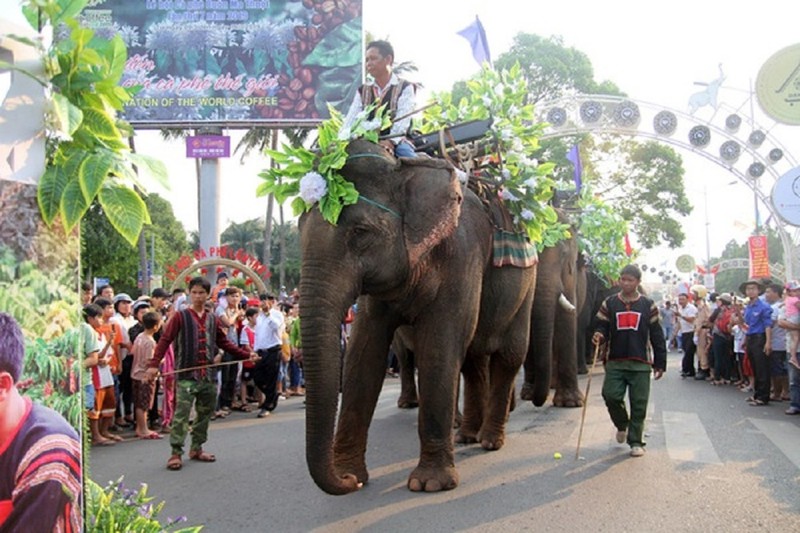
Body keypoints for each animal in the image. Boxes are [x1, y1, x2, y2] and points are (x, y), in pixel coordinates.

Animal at [300, 138, 536, 494]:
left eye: (361, 231)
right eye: (298, 230)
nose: (346, 482)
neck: (406, 169)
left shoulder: (462, 255)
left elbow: (440, 347)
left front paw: (430, 484)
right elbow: (363, 353)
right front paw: (354, 474)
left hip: (528, 284)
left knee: (508, 355)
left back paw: (490, 441)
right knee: (473, 358)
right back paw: (467, 435)